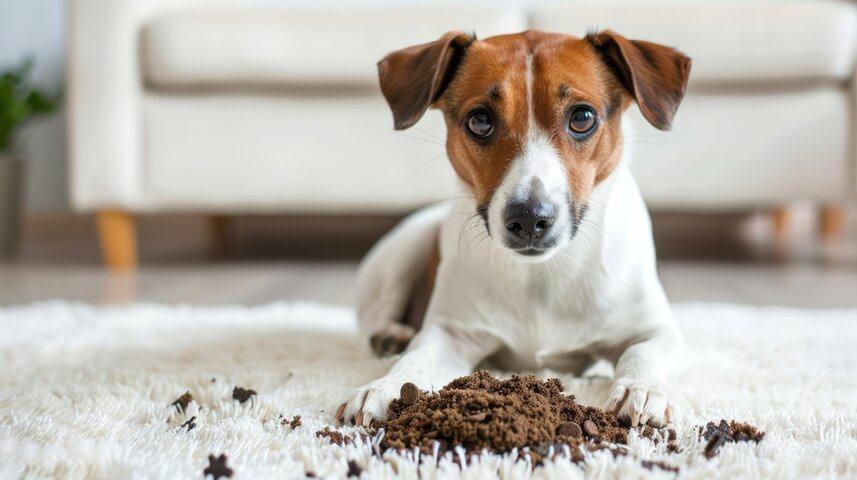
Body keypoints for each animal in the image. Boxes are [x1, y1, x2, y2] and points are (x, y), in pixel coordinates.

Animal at [334, 29, 688, 428]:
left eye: (582, 117)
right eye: (480, 121)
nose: (530, 217)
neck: (539, 272)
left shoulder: (657, 330)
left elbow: (644, 352)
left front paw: (643, 388)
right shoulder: (450, 335)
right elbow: (417, 357)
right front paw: (385, 386)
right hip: (405, 246)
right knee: (376, 314)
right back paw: (391, 336)